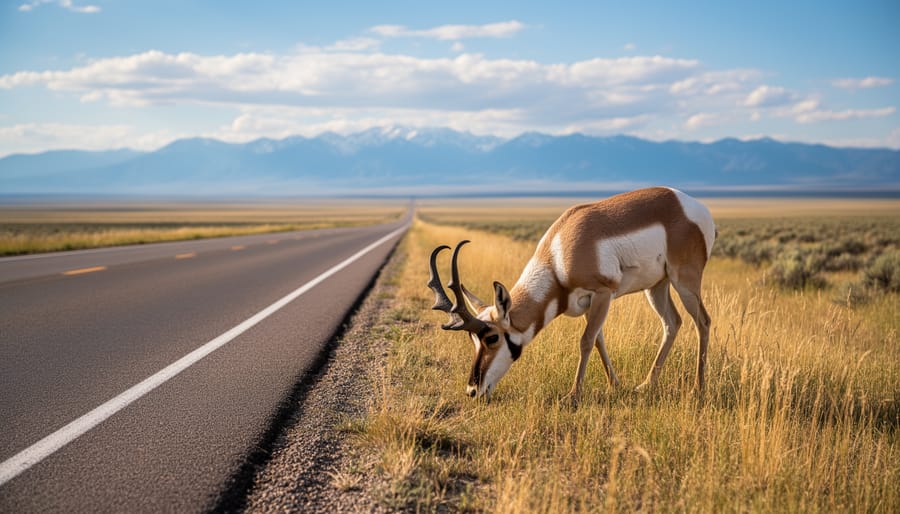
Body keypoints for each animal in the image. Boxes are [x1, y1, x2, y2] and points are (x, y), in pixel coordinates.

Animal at [428, 187, 716, 404]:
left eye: (492, 337)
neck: (559, 256)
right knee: (673, 322)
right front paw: (615, 386)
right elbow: (599, 340)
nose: (472, 391)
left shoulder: (603, 293)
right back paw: (645, 385)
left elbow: (586, 341)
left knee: (703, 321)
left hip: (684, 281)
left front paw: (573, 395)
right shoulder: (589, 304)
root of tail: (694, 206)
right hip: (657, 286)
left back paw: (698, 389)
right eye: (472, 339)